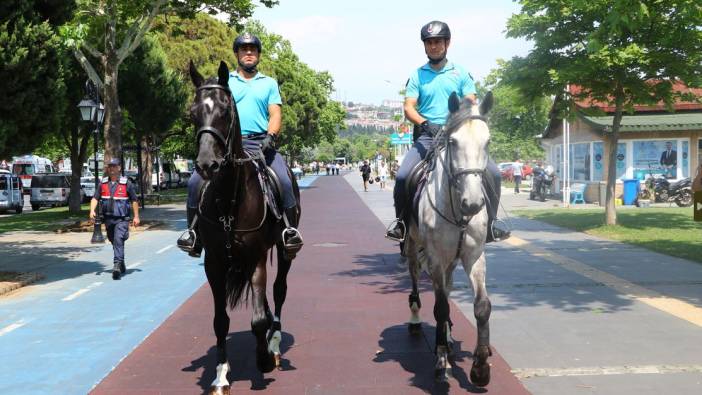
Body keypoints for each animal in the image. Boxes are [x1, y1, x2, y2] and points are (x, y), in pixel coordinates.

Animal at [404, 92, 498, 386]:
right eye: (453, 142)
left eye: (487, 142)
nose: (473, 203)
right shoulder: (435, 258)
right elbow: (441, 308)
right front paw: (441, 362)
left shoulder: (474, 256)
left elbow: (482, 306)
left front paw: (480, 368)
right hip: (412, 246)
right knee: (415, 276)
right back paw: (416, 320)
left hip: (452, 260)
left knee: (447, 285)